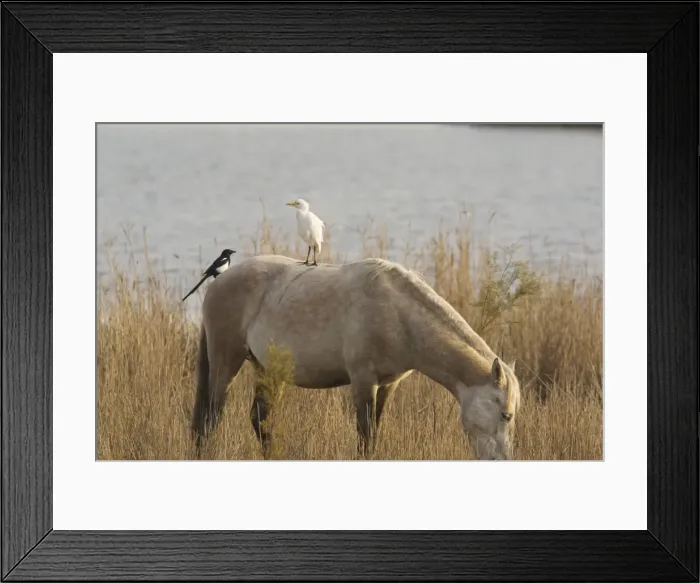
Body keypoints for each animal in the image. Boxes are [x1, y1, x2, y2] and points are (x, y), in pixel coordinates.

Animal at [191, 254, 521, 460]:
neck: (398, 313)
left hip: (268, 370)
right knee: (210, 418)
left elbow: (374, 433)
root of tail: (217, 283)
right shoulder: (363, 382)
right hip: (226, 361)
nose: (501, 460)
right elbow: (365, 438)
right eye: (506, 414)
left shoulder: (387, 385)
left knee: (259, 420)